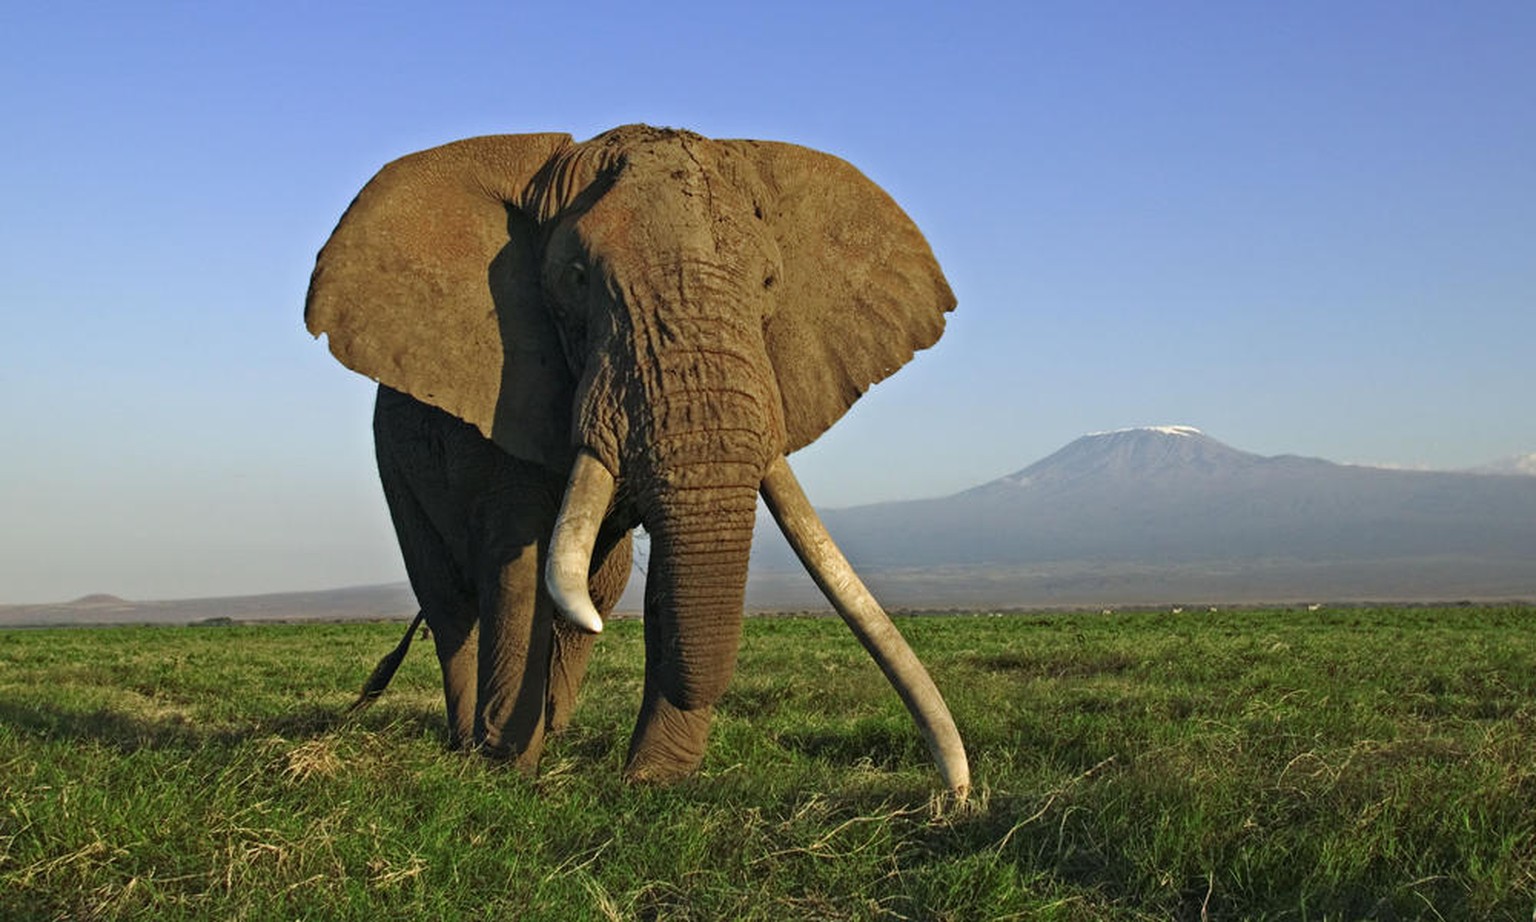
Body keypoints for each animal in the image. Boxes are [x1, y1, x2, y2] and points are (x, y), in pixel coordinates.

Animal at [304, 122, 964, 792]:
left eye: (769, 284)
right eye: (576, 279)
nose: (957, 794)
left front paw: (652, 779)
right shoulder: (509, 390)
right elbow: (519, 565)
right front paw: (508, 772)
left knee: (597, 588)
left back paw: (551, 730)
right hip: (394, 464)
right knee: (451, 602)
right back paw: (470, 742)